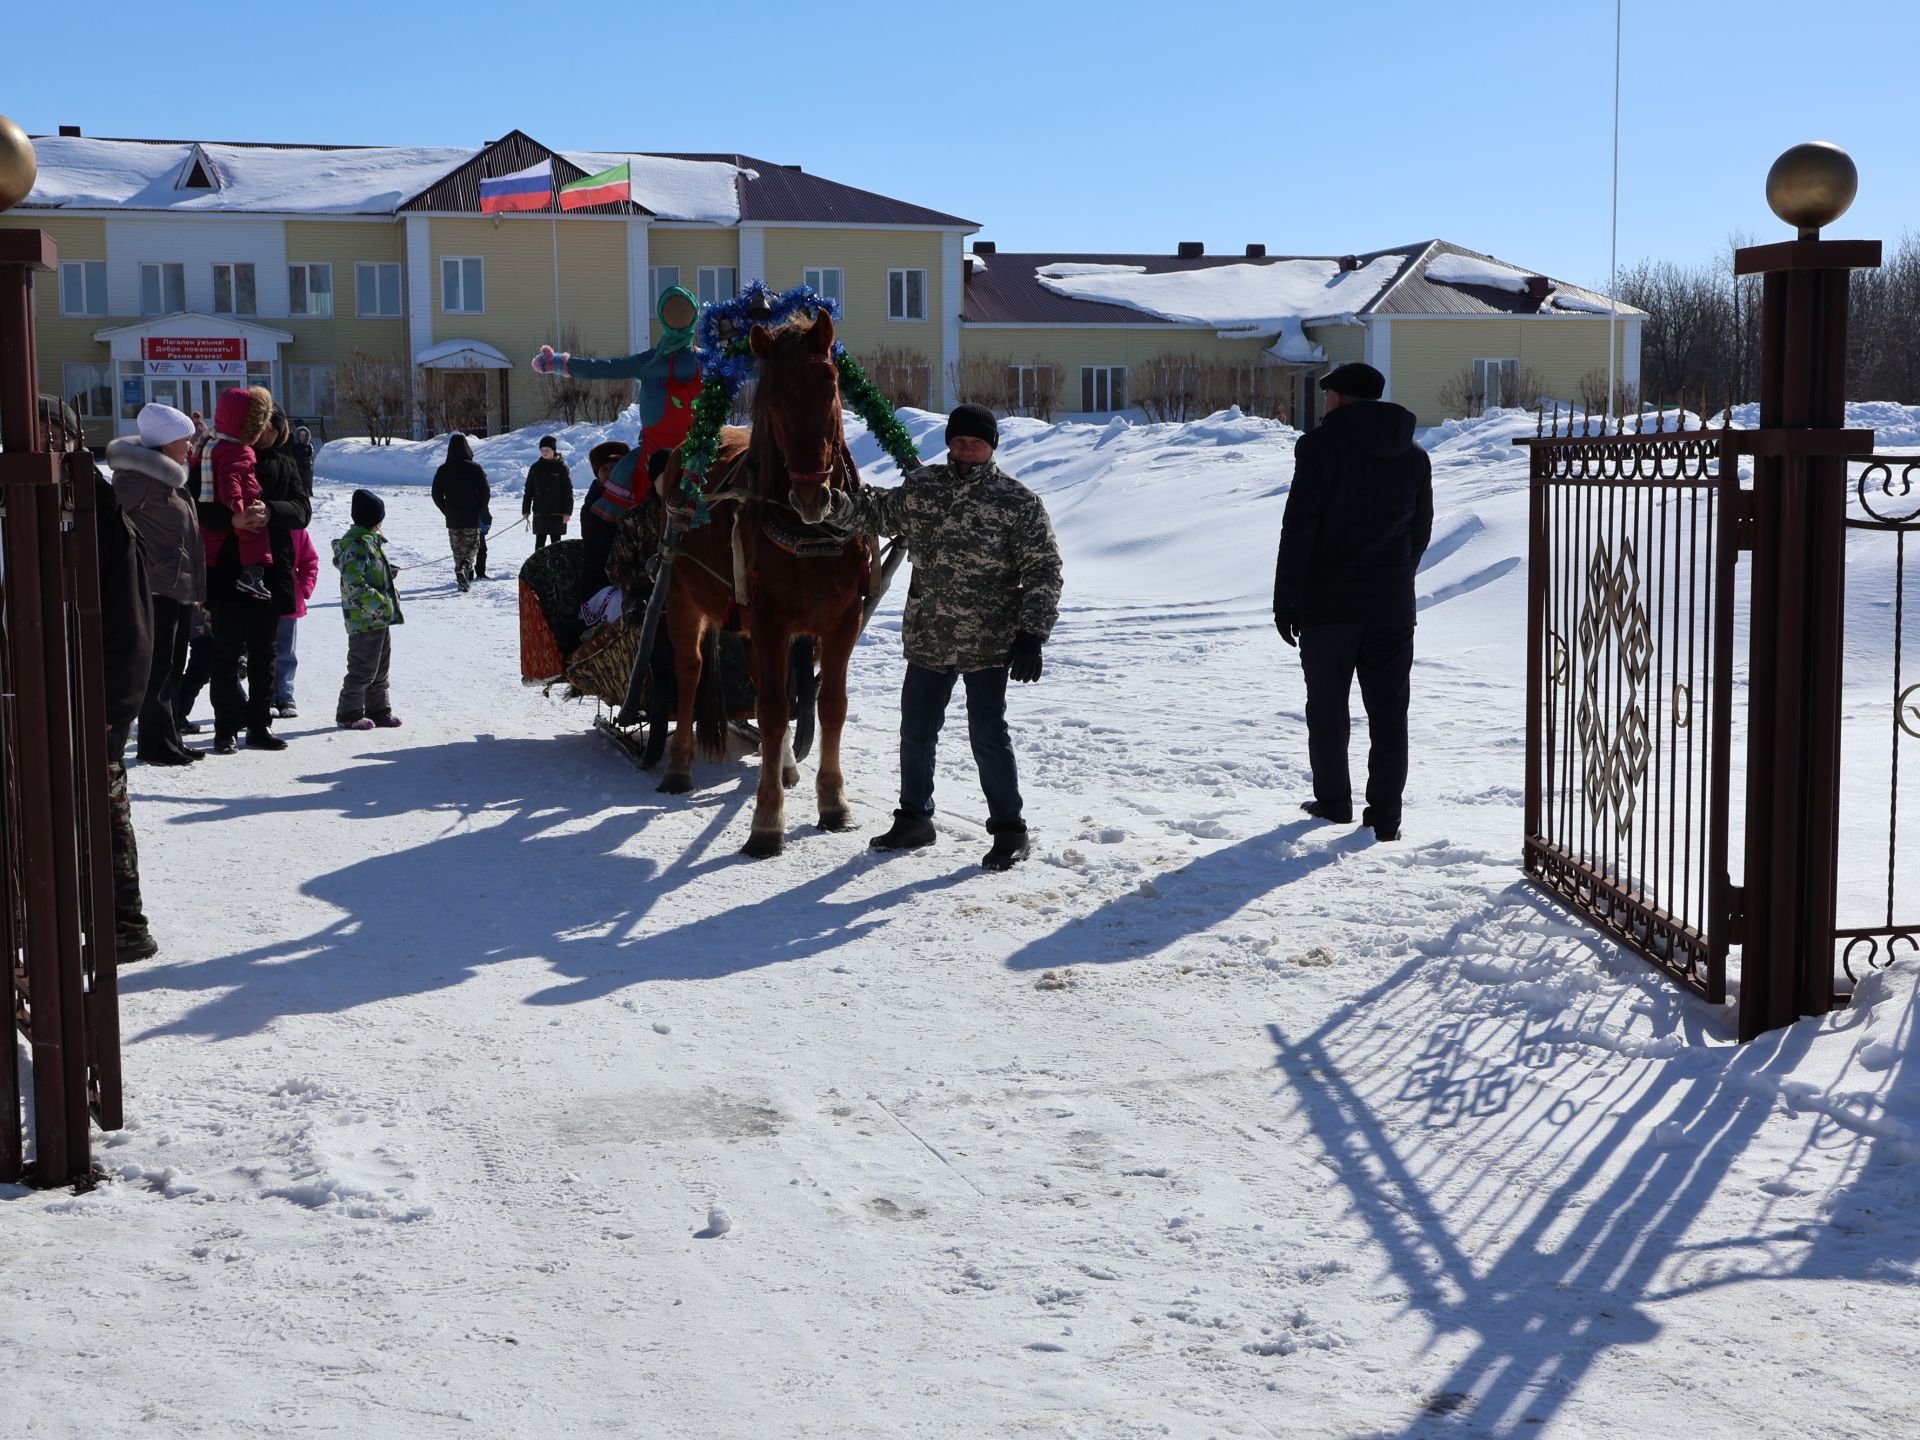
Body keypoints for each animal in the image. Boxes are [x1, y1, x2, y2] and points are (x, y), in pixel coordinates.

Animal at [660, 312, 871, 856]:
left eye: (831, 385)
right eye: (772, 399)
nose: (813, 496)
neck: (810, 536)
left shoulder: (842, 620)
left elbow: (830, 706)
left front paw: (833, 801)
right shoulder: (773, 622)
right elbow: (775, 714)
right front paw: (767, 820)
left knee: (759, 686)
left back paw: (787, 766)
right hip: (681, 596)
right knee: (689, 673)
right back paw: (678, 765)